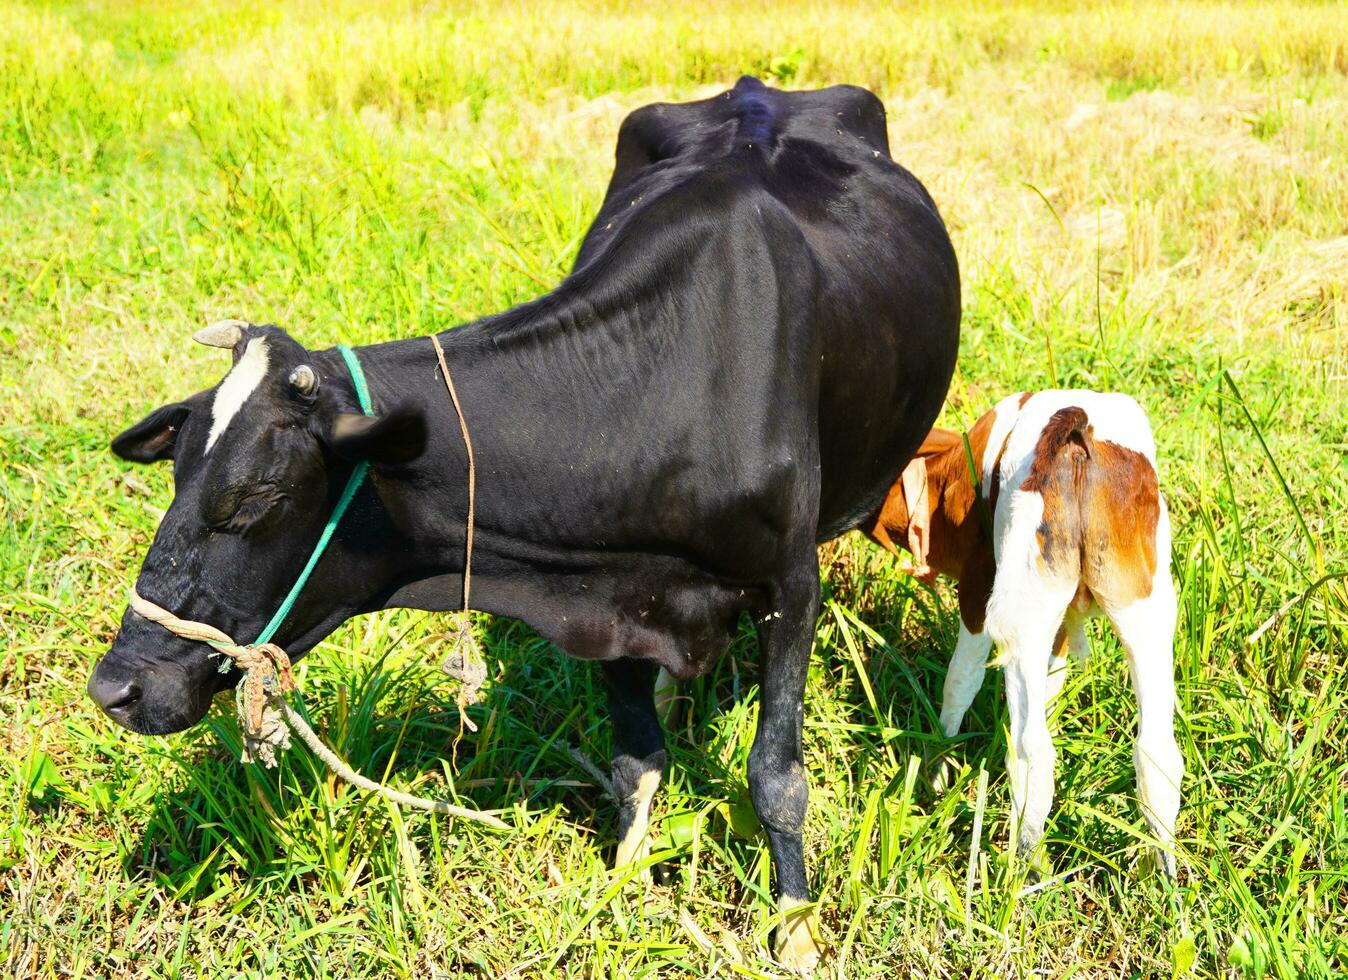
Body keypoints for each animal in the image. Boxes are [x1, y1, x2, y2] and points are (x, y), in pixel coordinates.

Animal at [89, 76, 959, 965]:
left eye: (257, 496)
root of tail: (756, 87)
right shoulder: (613, 595)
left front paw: (797, 937)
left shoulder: (790, 582)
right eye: (176, 473)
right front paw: (623, 890)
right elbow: (636, 759)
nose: (116, 689)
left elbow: (776, 778)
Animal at [873, 388, 1180, 873]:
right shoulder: (1059, 624)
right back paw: (1163, 870)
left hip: (1020, 614)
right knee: (1156, 749)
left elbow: (959, 683)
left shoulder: (978, 590)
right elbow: (1051, 685)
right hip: (1144, 609)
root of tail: (1078, 426)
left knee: (1030, 749)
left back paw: (1023, 865)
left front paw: (937, 770)